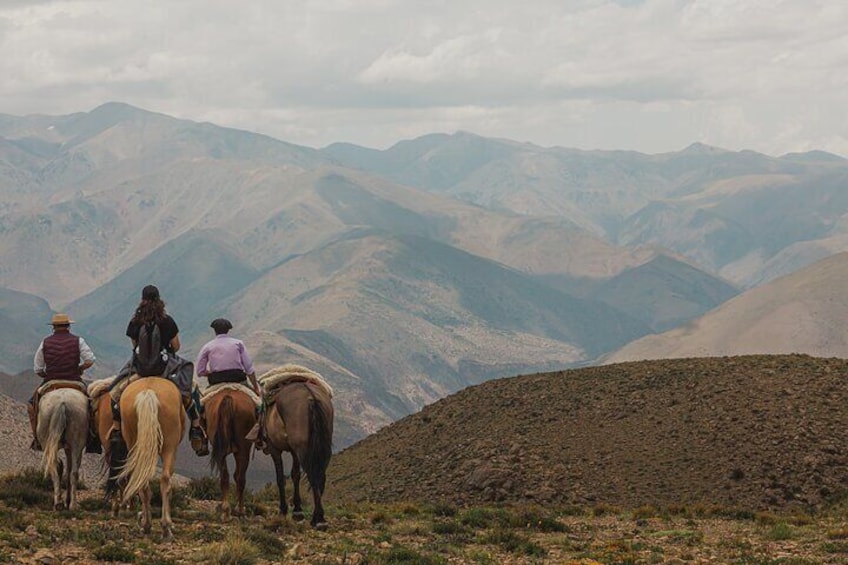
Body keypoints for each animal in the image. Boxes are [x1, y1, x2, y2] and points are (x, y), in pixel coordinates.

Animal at [116, 376, 184, 540]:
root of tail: (148, 392)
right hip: (169, 446)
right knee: (165, 480)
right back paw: (166, 527)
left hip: (135, 445)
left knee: (143, 482)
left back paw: (146, 525)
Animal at [205, 386, 258, 516]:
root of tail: (228, 397)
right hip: (244, 448)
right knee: (240, 477)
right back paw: (240, 510)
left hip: (220, 450)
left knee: (225, 476)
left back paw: (225, 509)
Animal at [262, 366, 334, 528]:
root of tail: (311, 396)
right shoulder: (294, 450)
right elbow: (295, 474)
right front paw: (297, 510)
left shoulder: (275, 449)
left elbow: (280, 477)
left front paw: (283, 510)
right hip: (321, 447)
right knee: (320, 475)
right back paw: (318, 517)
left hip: (304, 449)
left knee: (313, 475)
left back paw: (318, 519)